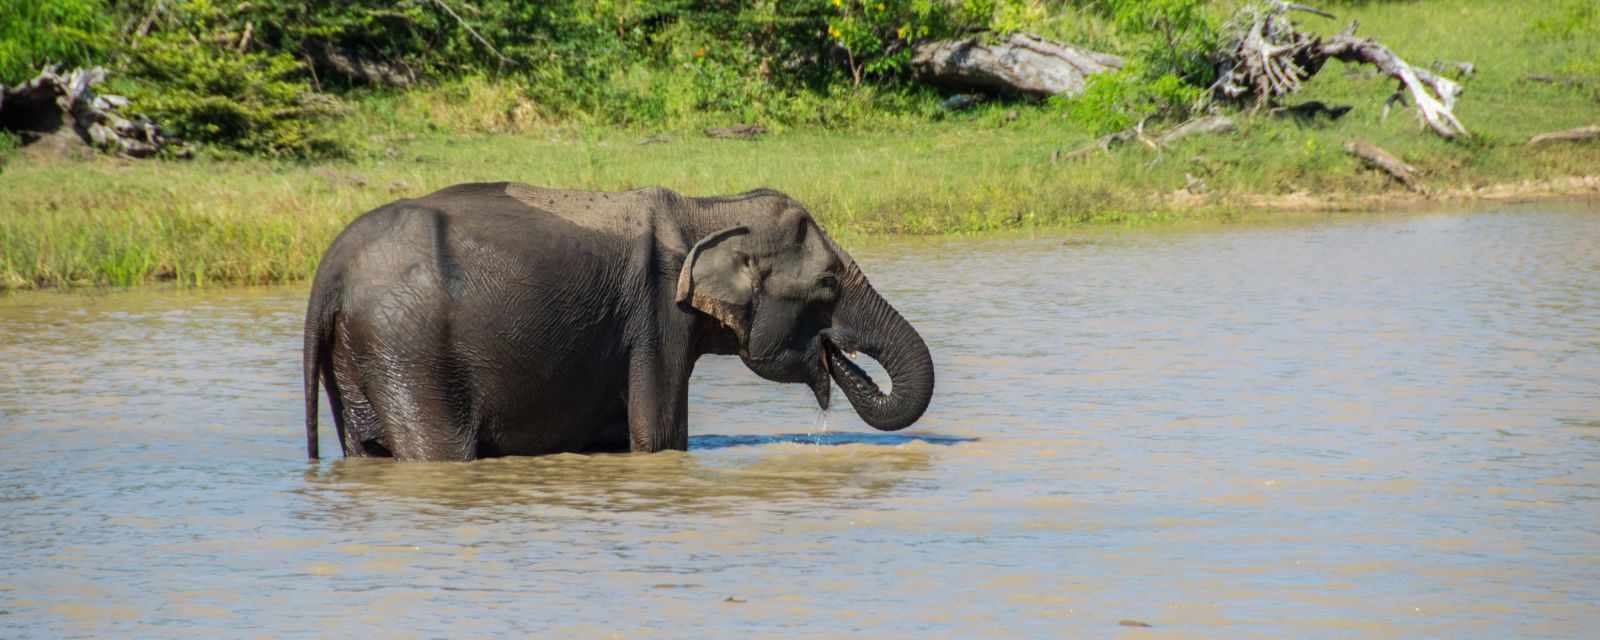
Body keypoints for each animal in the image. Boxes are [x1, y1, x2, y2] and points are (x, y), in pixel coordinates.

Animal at [302, 181, 934, 460]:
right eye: (828, 284)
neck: (708, 210)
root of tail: (329, 269)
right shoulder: (655, 317)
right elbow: (659, 436)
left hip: (360, 353)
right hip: (408, 346)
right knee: (437, 450)